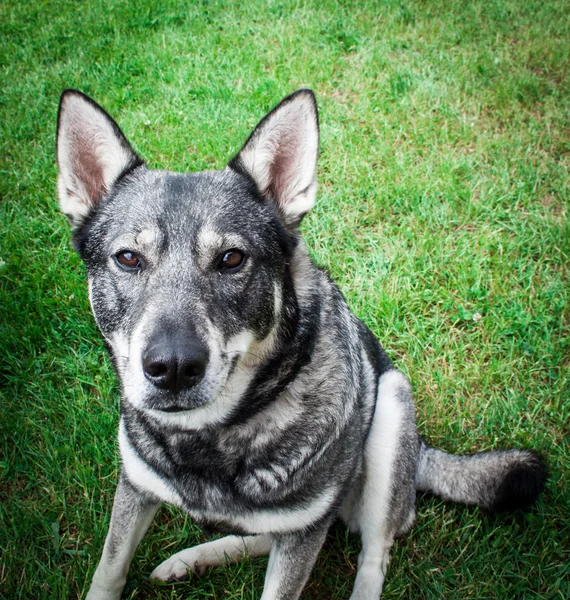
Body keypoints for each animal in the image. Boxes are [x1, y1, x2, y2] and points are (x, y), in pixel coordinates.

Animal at [55, 89, 544, 600]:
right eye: (128, 258)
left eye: (232, 259)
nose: (172, 367)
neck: (213, 435)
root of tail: (422, 454)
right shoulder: (135, 488)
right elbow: (109, 569)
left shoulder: (304, 529)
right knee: (261, 536)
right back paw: (191, 559)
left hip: (390, 411)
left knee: (374, 552)